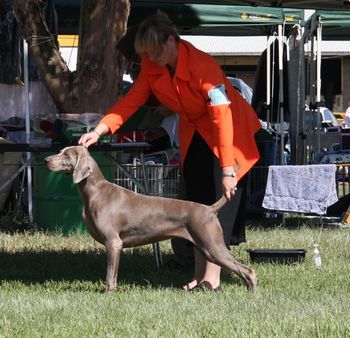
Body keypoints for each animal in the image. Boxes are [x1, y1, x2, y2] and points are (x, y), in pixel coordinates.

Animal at [44, 146, 258, 294]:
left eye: (65, 155)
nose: (46, 160)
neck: (95, 191)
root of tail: (209, 209)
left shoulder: (113, 243)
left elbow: (110, 274)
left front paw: (108, 292)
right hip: (204, 246)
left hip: (213, 246)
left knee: (248, 270)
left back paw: (252, 294)